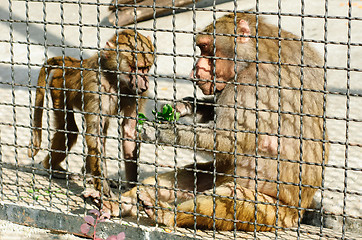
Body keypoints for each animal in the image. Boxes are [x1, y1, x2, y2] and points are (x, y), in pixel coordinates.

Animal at [26, 29, 154, 216]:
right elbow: (94, 134)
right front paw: (106, 192)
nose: (144, 83)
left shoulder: (137, 94)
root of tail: (72, 65)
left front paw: (132, 189)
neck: (113, 78)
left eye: (146, 68)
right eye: (135, 68)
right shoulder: (96, 86)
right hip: (58, 87)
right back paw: (53, 168)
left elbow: (128, 132)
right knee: (70, 130)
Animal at [120, 12, 330, 231]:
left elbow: (226, 139)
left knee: (231, 196)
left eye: (205, 48)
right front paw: (185, 106)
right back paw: (129, 201)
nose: (194, 72)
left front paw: (164, 132)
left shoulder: (250, 85)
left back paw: (169, 216)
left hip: (273, 212)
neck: (254, 54)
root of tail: (298, 213)